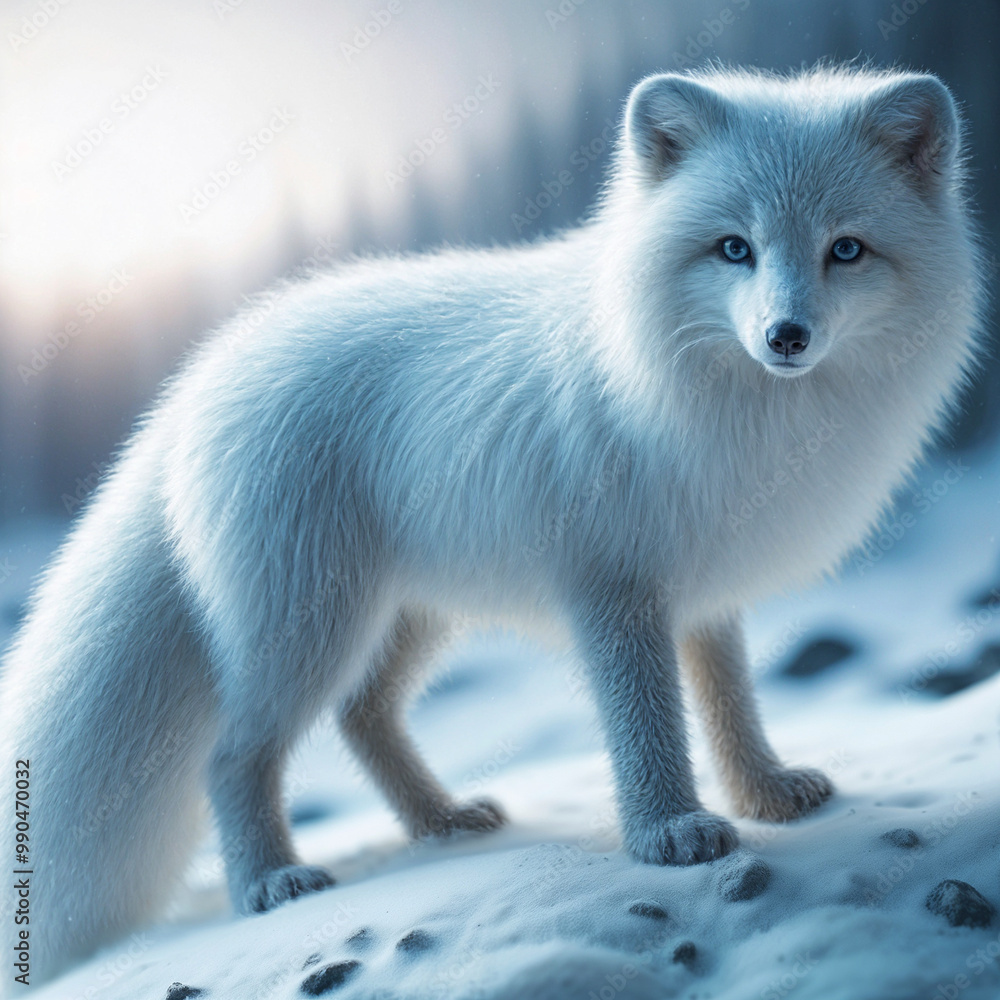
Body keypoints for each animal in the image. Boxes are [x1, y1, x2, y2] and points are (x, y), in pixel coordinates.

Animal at [0, 64, 984, 992]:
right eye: (733, 248)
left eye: (845, 249)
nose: (785, 336)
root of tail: (196, 379)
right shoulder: (611, 586)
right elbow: (645, 719)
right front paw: (669, 831)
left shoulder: (703, 587)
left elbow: (730, 700)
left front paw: (765, 792)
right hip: (308, 624)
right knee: (233, 754)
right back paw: (270, 883)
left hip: (412, 614)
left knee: (364, 714)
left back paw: (440, 823)